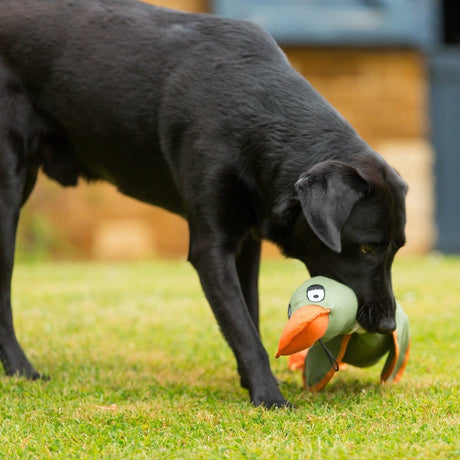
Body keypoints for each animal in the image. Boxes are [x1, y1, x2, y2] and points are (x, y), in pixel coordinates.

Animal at [0, 0, 406, 410]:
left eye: (396, 249)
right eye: (367, 247)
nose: (388, 324)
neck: (256, 114)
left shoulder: (247, 242)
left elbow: (248, 314)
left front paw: (252, 381)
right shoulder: (211, 247)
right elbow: (242, 326)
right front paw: (268, 396)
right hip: (8, 197)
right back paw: (21, 369)